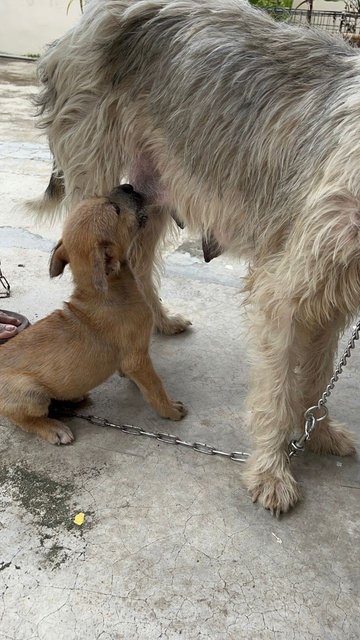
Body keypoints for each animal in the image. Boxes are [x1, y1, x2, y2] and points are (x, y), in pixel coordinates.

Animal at [0, 185, 186, 444]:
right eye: (116, 209)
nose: (128, 186)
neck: (108, 291)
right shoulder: (137, 358)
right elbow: (154, 386)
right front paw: (169, 409)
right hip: (31, 393)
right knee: (22, 419)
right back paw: (53, 428)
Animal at [32, 0, 358, 512]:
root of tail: (86, 20)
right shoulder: (287, 286)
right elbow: (278, 387)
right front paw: (270, 470)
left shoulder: (333, 288)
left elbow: (318, 371)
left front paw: (319, 432)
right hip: (99, 182)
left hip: (149, 191)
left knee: (137, 262)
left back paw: (158, 320)